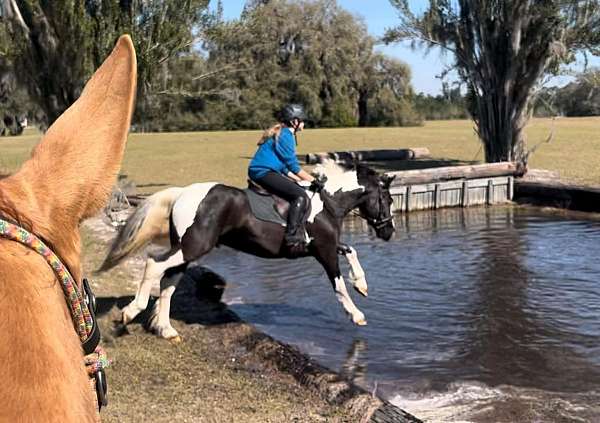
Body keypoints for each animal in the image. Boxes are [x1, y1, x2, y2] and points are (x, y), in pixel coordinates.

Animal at [101, 159, 396, 342]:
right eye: (387, 199)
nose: (389, 232)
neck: (328, 202)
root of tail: (183, 193)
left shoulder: (325, 246)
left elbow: (352, 251)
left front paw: (362, 284)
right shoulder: (324, 250)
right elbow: (338, 285)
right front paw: (356, 314)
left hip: (187, 249)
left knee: (168, 282)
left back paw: (165, 329)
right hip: (193, 246)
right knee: (154, 265)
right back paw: (131, 312)